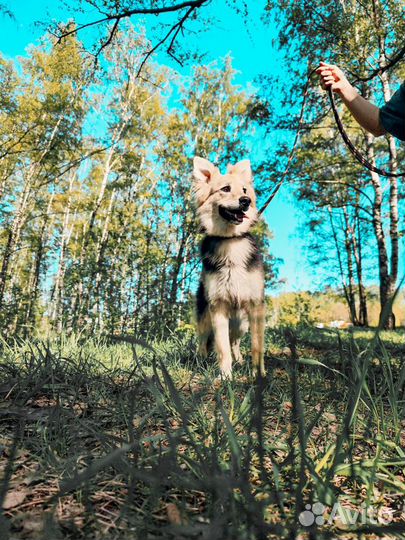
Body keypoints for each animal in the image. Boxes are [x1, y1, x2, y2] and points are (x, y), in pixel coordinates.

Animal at [193, 154, 266, 378]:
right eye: (225, 189)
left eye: (244, 190)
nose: (245, 201)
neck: (231, 241)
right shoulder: (218, 307)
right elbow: (222, 347)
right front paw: (225, 376)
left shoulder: (256, 306)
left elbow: (256, 346)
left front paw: (258, 375)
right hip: (205, 317)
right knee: (203, 341)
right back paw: (200, 362)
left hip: (241, 323)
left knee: (235, 342)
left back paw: (240, 360)